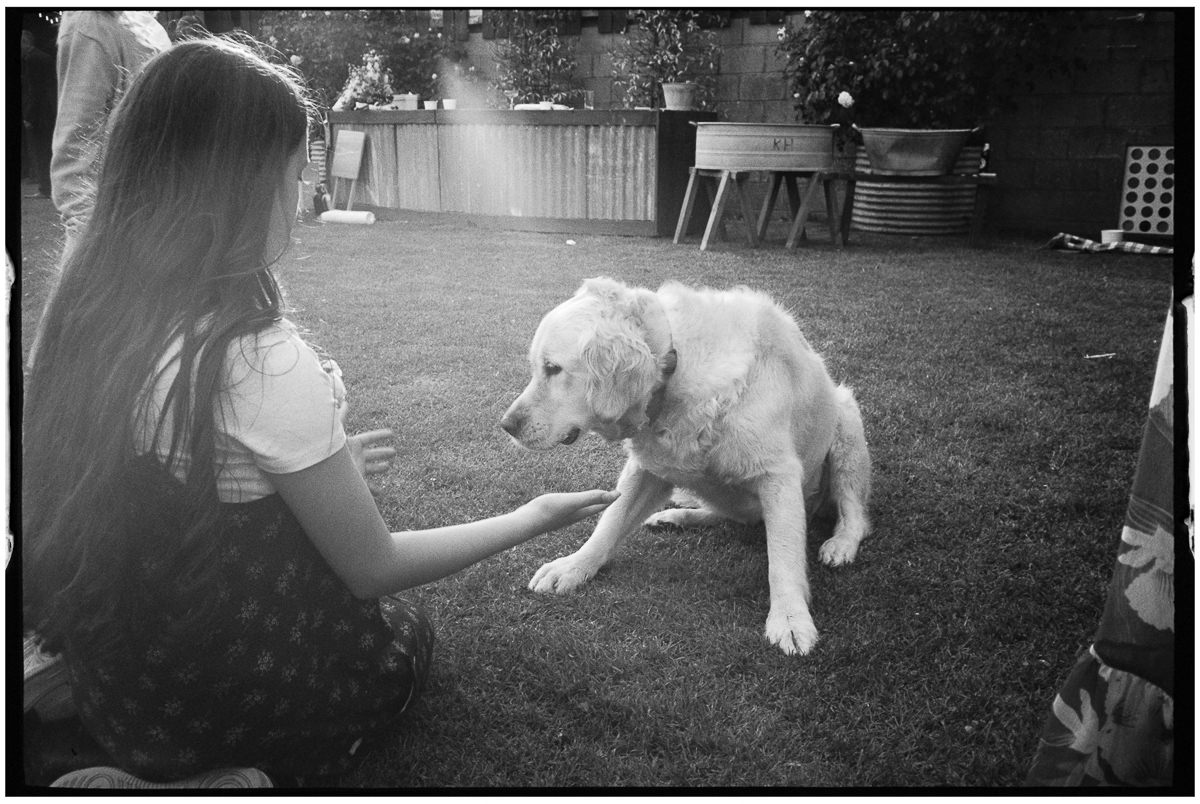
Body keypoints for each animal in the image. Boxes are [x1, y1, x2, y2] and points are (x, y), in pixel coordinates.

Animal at [499, 277, 873, 652]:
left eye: (552, 368)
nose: (506, 425)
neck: (675, 369)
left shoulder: (778, 474)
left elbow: (783, 557)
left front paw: (790, 619)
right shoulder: (648, 468)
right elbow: (609, 522)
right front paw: (573, 567)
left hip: (846, 427)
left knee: (855, 514)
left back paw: (841, 543)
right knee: (732, 514)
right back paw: (677, 516)